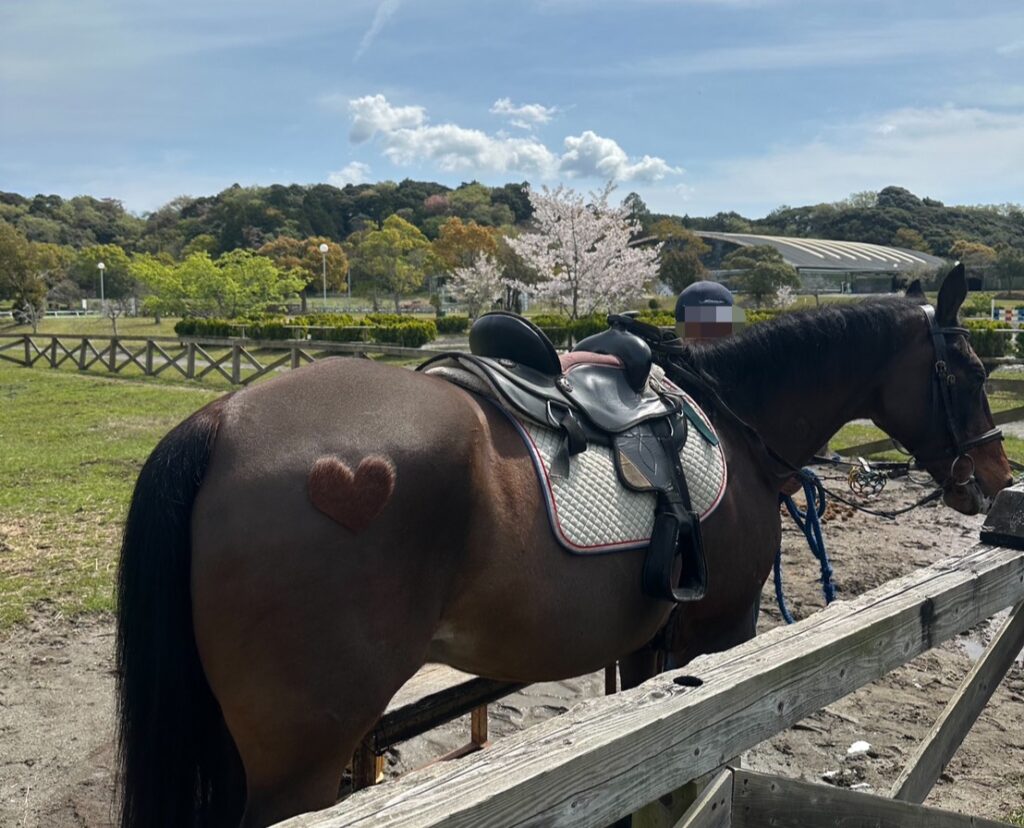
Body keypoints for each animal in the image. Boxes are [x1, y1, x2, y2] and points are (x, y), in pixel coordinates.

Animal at [114, 264, 1012, 827]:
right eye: (970, 371)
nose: (996, 475)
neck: (734, 417)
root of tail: (221, 420)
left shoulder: (657, 644)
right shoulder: (720, 627)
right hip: (302, 751)